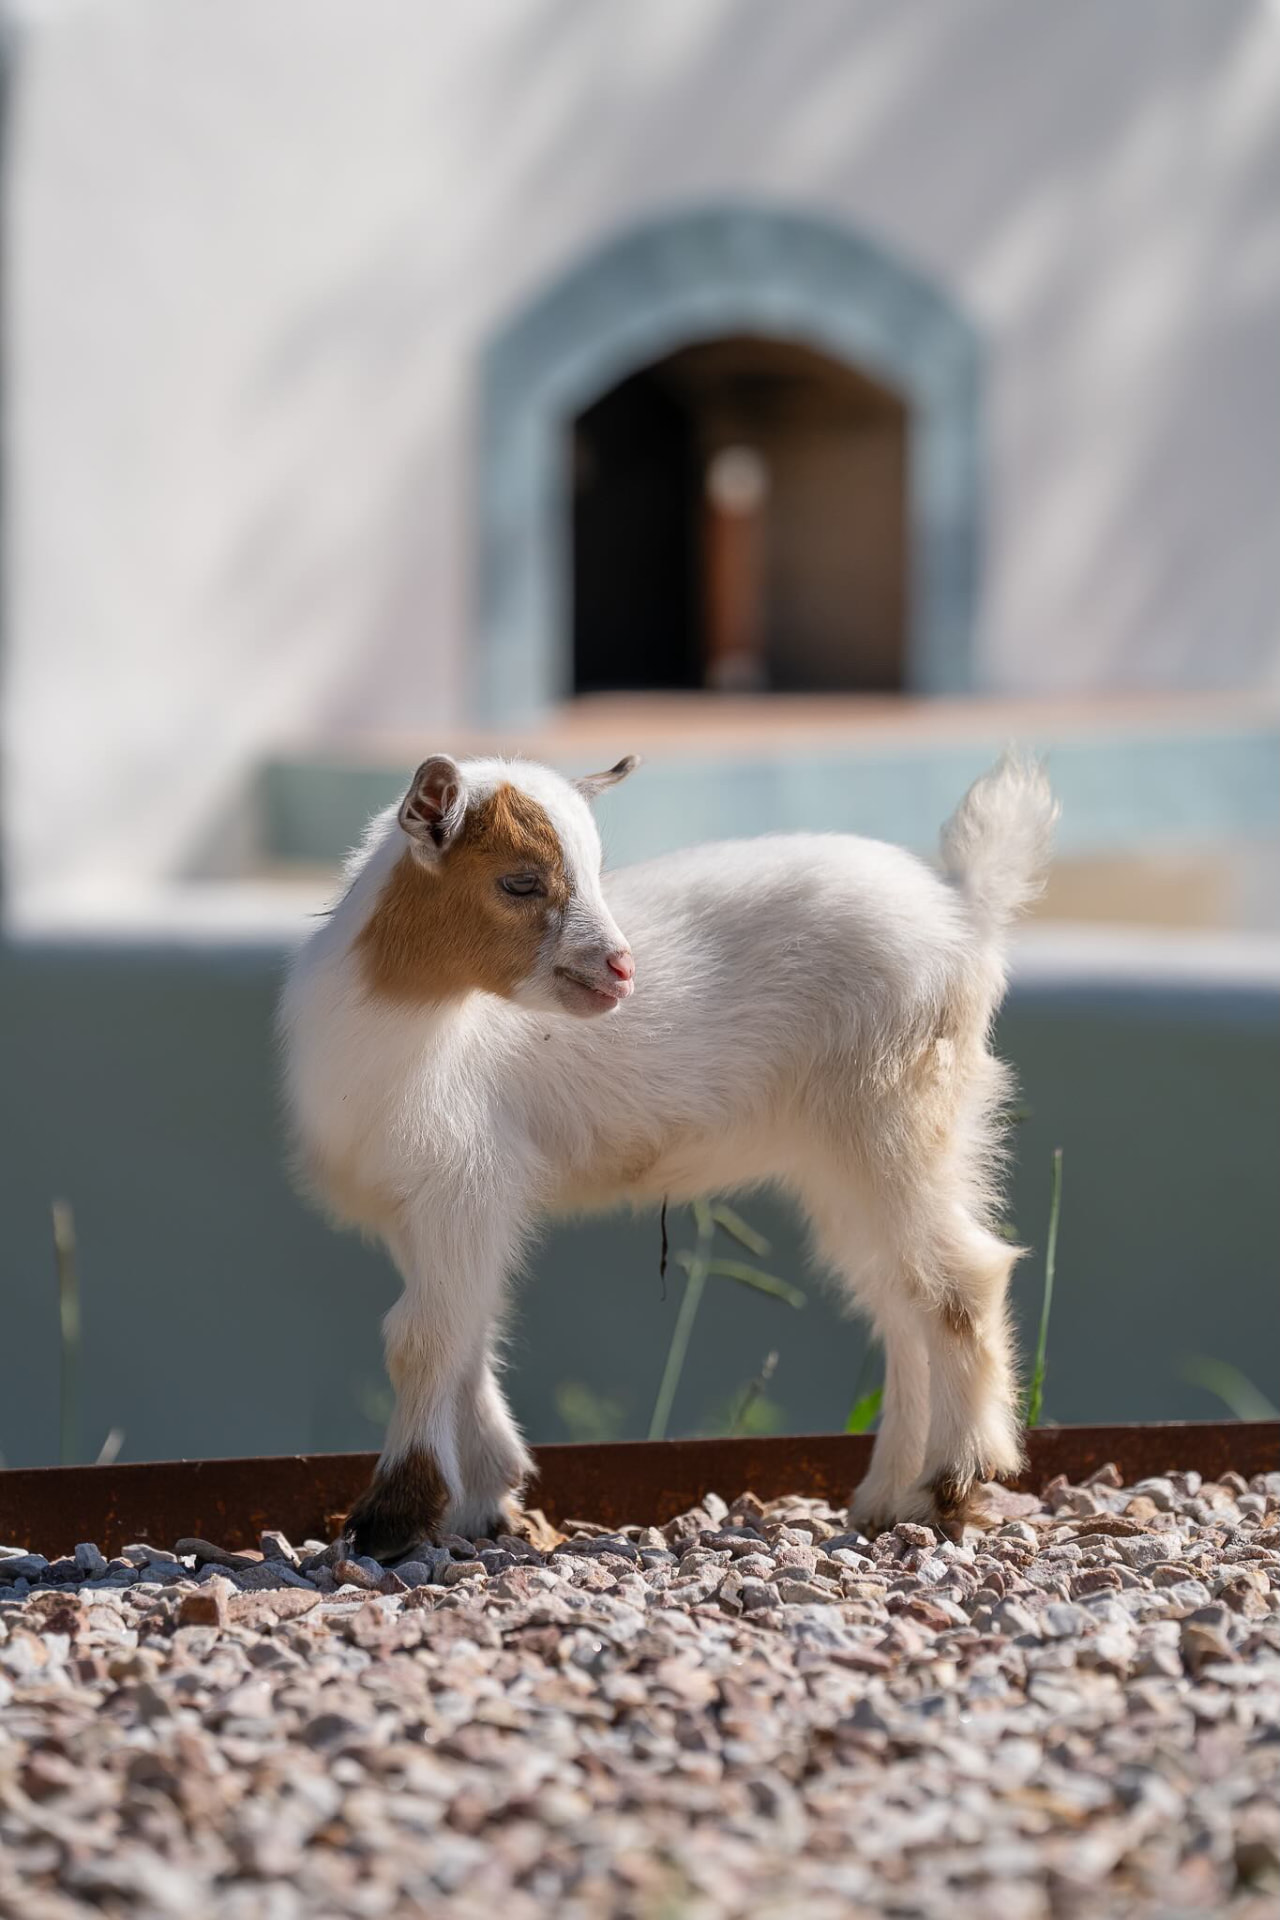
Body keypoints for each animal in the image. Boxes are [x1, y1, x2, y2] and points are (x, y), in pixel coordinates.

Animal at [279, 750, 1057, 1559]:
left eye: (595, 870)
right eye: (521, 881)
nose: (622, 969)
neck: (410, 1011)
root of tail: (964, 910)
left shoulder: (463, 1180)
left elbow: (421, 1339)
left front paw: (393, 1517)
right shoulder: (421, 1206)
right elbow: (468, 1330)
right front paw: (485, 1496)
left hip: (896, 1119)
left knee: (962, 1277)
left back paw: (953, 1479)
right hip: (853, 1159)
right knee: (900, 1302)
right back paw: (888, 1498)